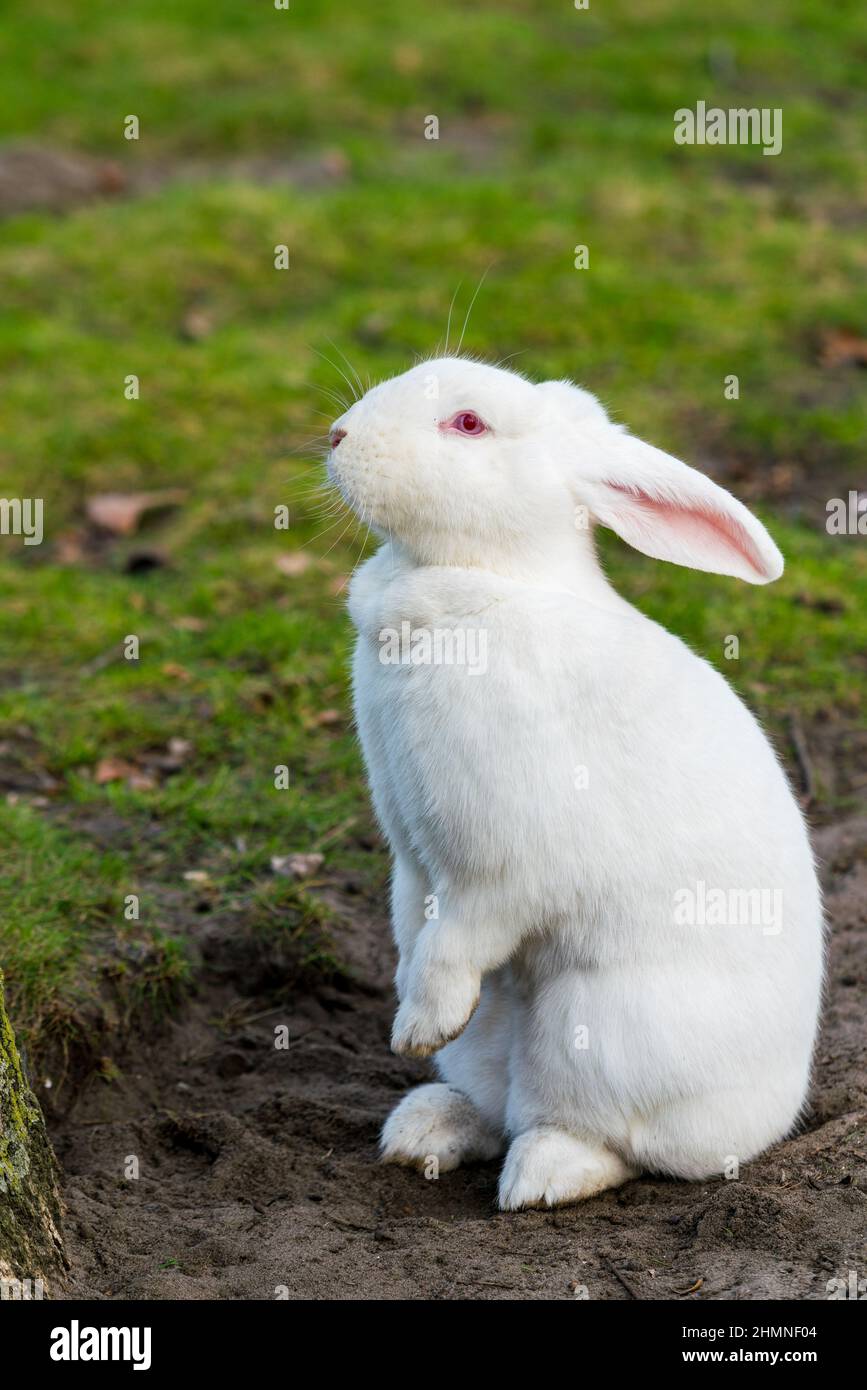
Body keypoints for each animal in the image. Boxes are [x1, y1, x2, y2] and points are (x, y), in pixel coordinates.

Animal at [326, 355, 824, 1210]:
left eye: (468, 424)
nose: (336, 436)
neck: (484, 582)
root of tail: (772, 1112)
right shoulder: (413, 860)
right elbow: (414, 927)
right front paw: (405, 1004)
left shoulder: (495, 871)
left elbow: (454, 943)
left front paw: (415, 1027)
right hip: (503, 1035)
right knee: (495, 1104)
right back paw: (422, 1130)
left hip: (594, 1031)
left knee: (611, 1142)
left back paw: (540, 1175)